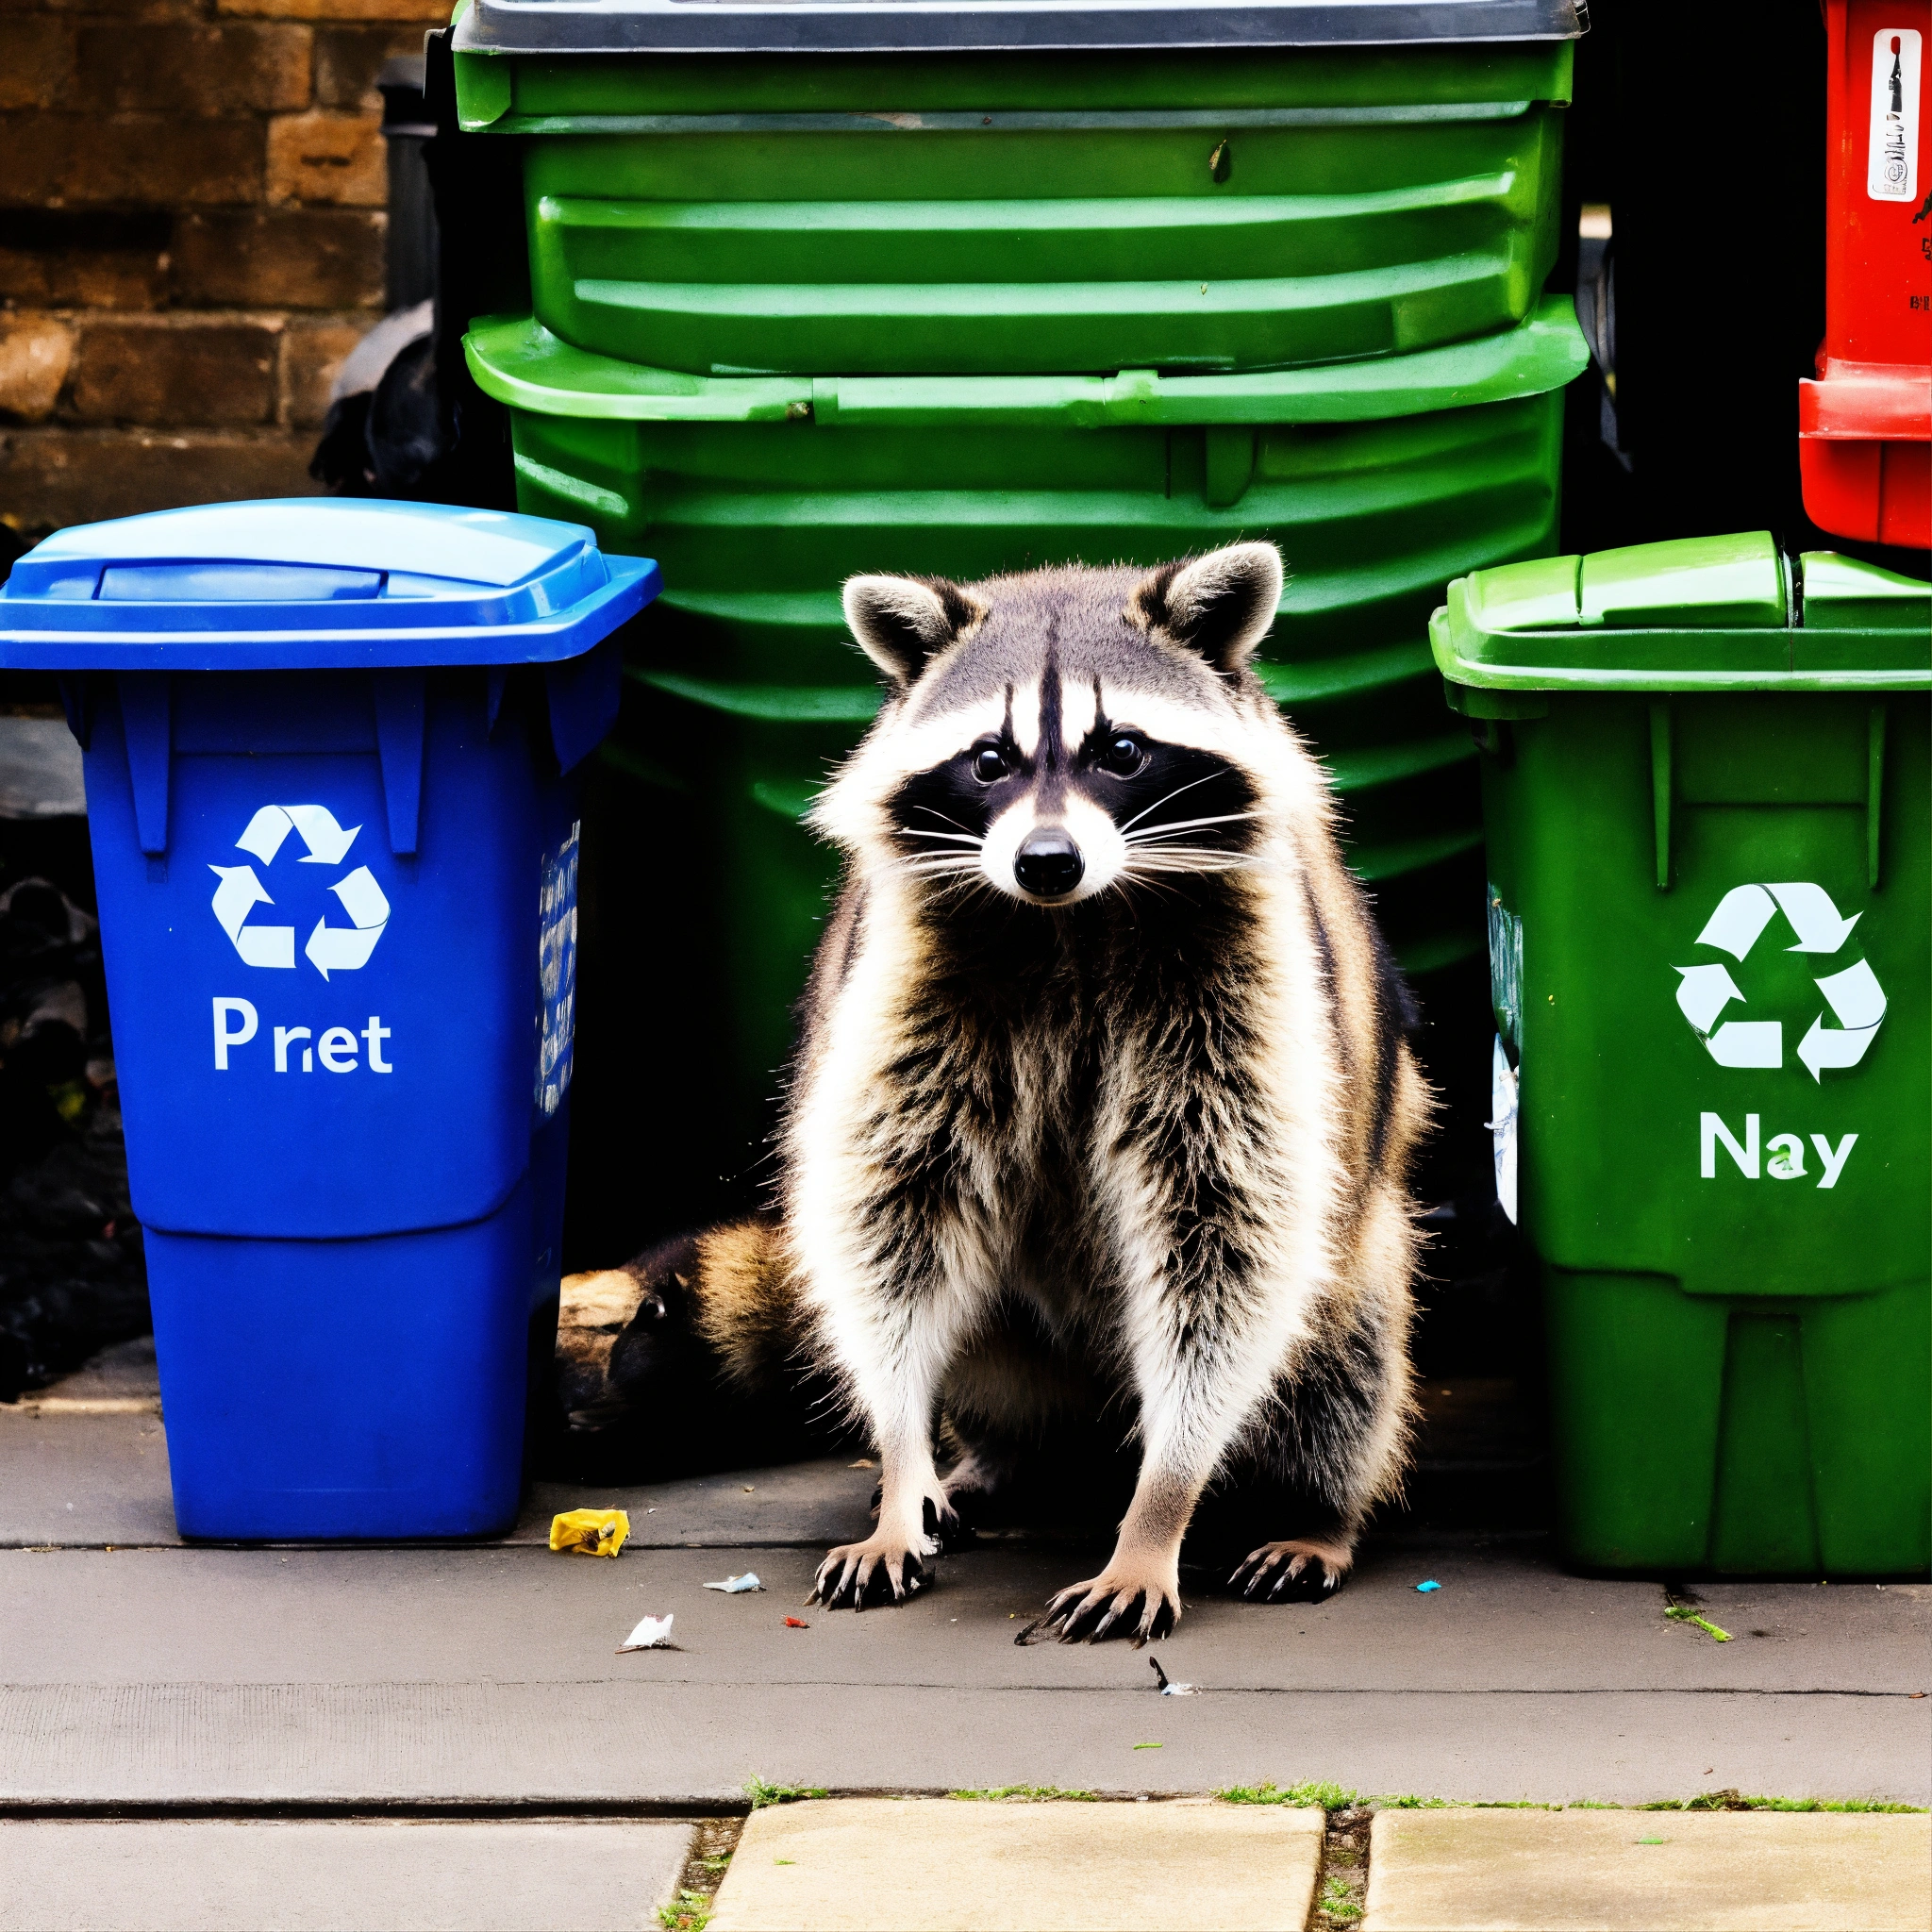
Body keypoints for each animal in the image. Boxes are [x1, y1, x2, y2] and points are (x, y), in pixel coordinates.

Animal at [563, 542, 1427, 1640]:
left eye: (1120, 751)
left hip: (1361, 1239)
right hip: (1019, 1341)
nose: (1045, 861)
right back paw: (988, 1456)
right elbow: (892, 1228)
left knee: (1344, 1341)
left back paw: (1314, 1509)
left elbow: (1226, 1244)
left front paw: (1162, 1504)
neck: (1070, 922)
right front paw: (900, 1466)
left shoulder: (1246, 985)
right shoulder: (904, 980)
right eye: (988, 761)